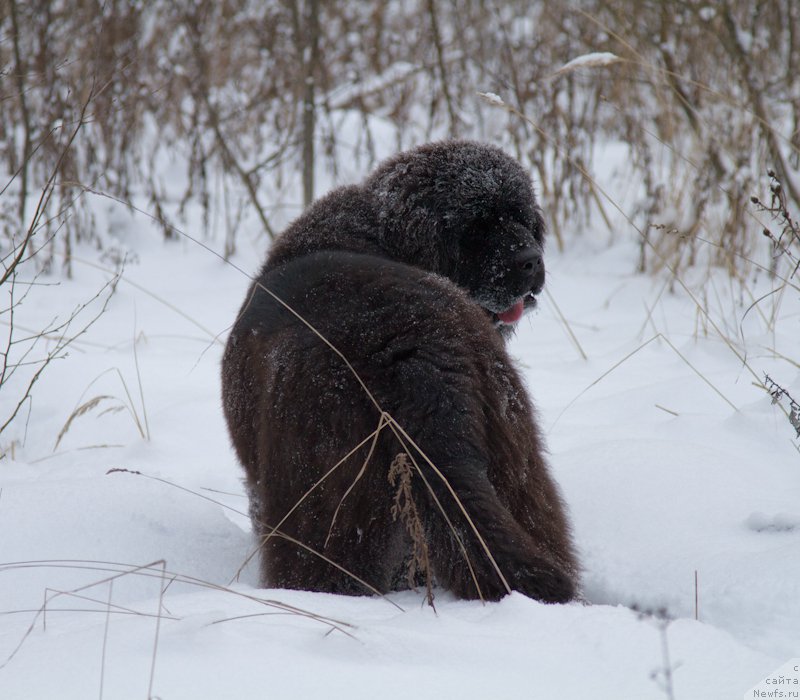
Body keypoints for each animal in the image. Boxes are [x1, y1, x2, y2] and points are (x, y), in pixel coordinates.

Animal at [222, 141, 580, 600]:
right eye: (477, 228)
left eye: (520, 218)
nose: (531, 260)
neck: (379, 235)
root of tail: (417, 353)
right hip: (515, 455)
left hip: (321, 486)